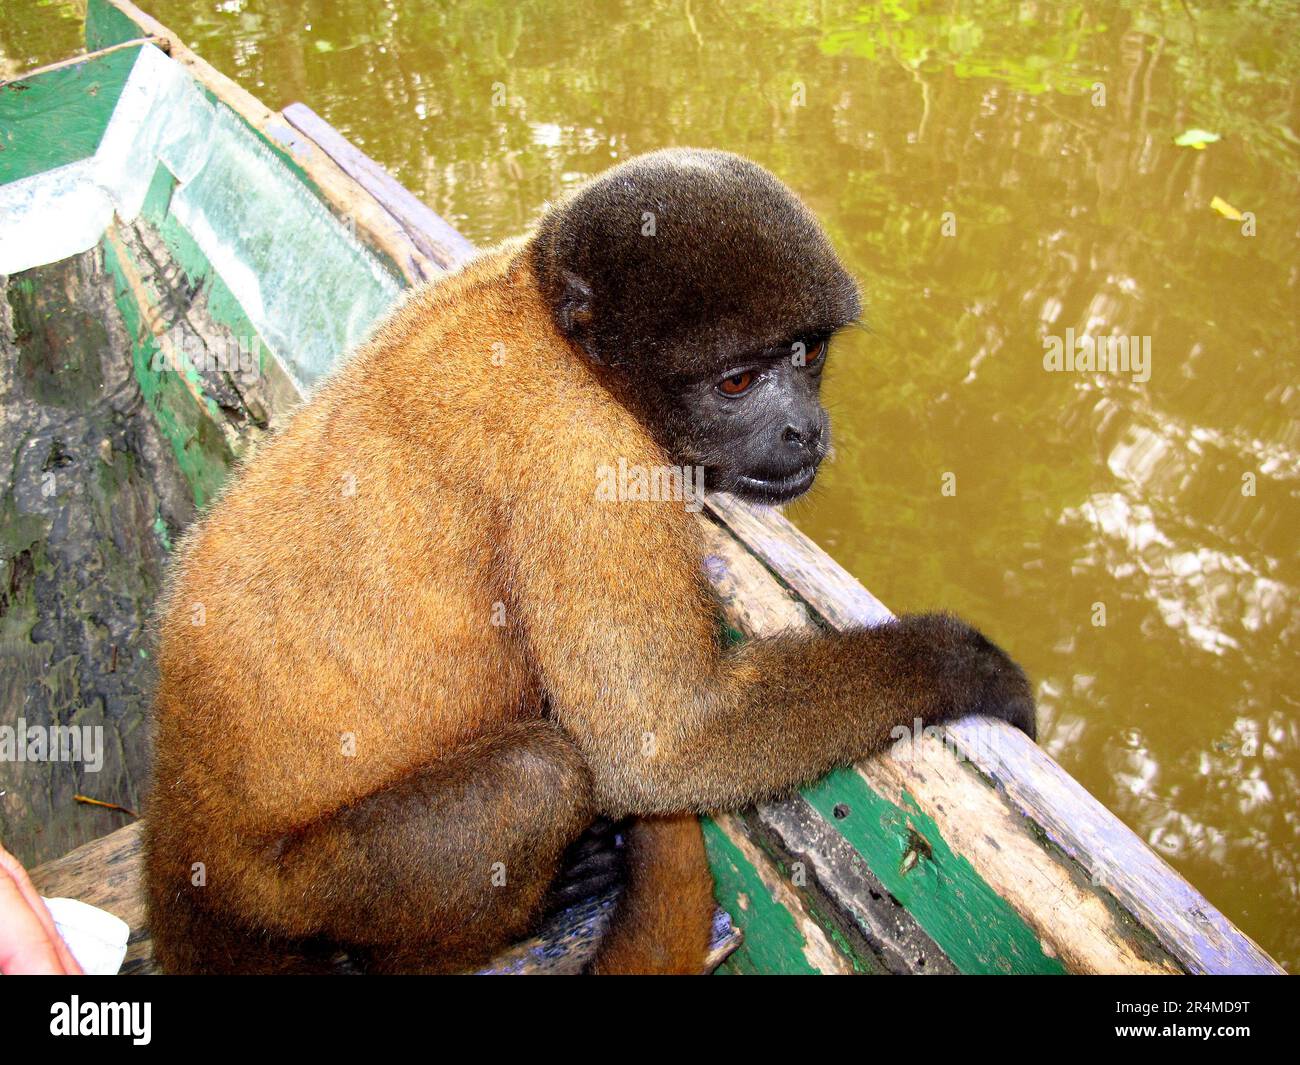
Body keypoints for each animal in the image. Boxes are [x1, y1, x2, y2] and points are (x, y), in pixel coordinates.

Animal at [143, 148, 1036, 975]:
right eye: (738, 381)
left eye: (807, 354)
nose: (804, 430)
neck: (552, 322)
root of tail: (179, 824)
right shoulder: (589, 462)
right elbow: (661, 746)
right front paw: (965, 665)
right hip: (301, 890)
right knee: (538, 772)